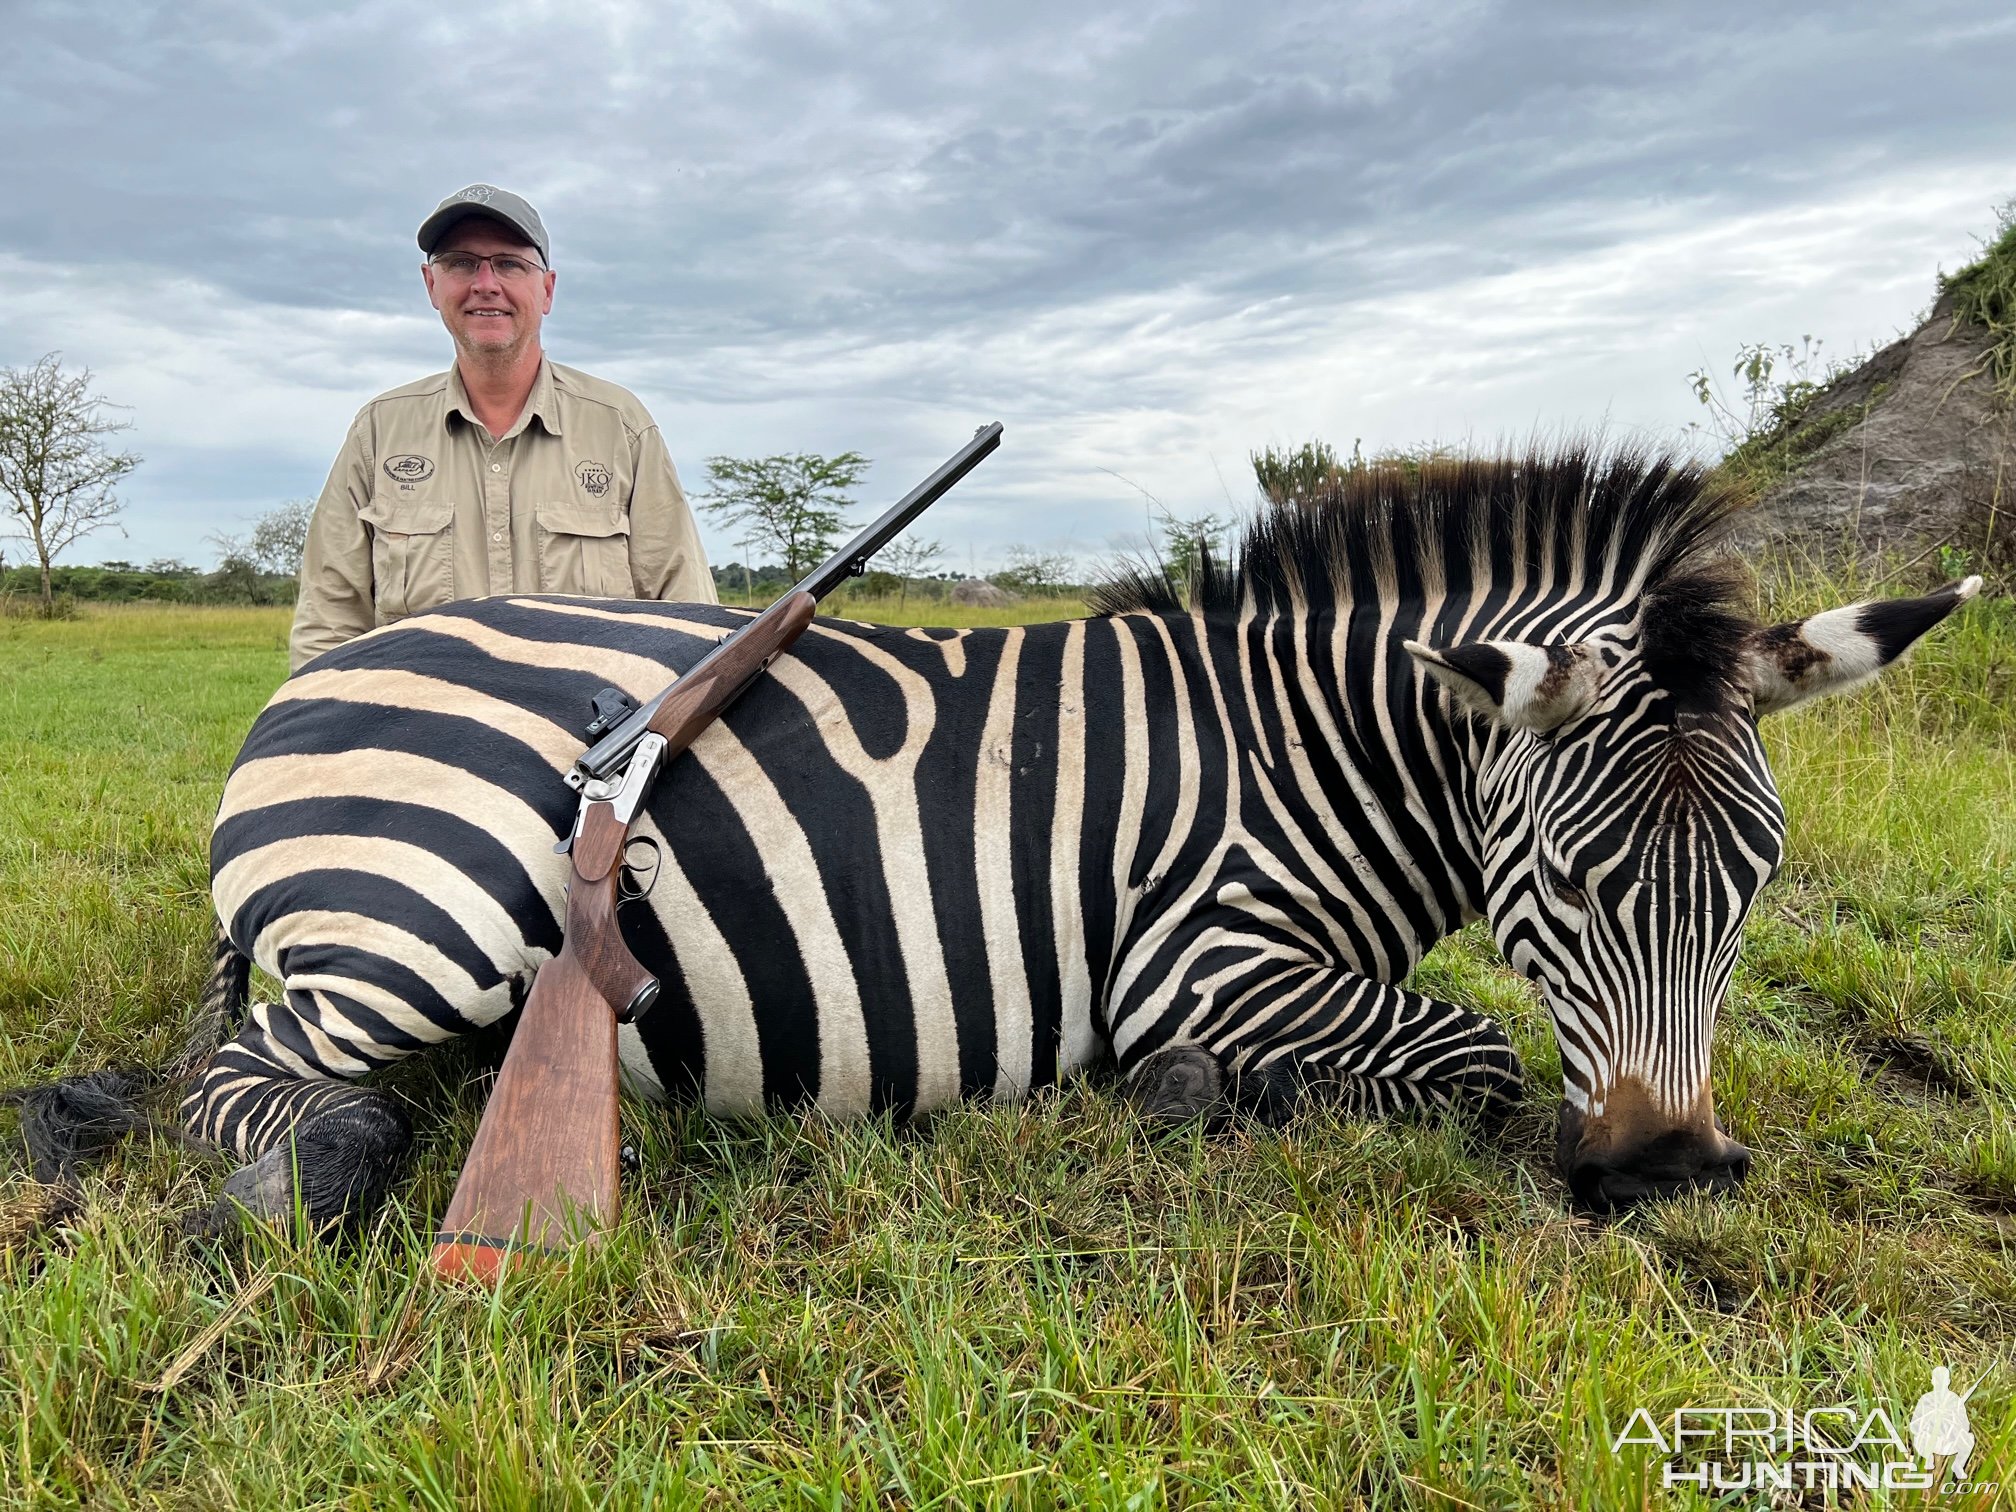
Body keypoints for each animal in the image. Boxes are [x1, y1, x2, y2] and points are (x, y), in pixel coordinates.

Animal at [7, 443, 1975, 1225]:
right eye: (1566, 882)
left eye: (1756, 882)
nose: (1666, 1168)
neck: (1307, 751)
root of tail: (316, 681)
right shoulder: (1210, 957)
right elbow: (1474, 1047)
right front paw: (1194, 1098)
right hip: (435, 911)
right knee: (253, 1085)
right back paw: (320, 1173)